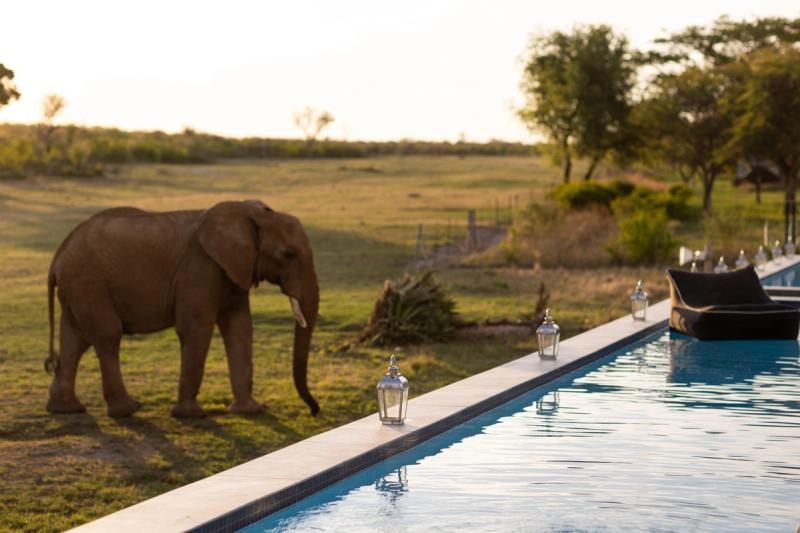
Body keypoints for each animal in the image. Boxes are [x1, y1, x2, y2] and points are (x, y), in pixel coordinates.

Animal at [44, 200, 320, 418]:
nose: (314, 411)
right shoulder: (200, 268)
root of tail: (58, 256)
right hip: (89, 283)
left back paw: (66, 409)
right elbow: (196, 328)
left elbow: (240, 328)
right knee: (107, 336)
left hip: (78, 288)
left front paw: (250, 411)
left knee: (75, 341)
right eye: (289, 254)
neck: (251, 213)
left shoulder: (233, 270)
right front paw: (191, 416)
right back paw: (128, 410)